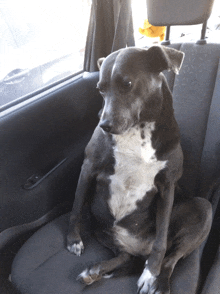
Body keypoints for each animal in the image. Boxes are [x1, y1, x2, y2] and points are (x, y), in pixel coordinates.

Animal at [66, 46, 211, 294]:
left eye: (127, 83)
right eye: (100, 89)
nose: (103, 124)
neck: (138, 129)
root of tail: (139, 248)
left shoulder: (168, 186)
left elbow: (161, 241)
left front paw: (151, 272)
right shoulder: (88, 167)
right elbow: (75, 207)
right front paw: (73, 240)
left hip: (204, 209)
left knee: (172, 256)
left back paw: (158, 282)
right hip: (103, 225)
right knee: (126, 256)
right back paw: (95, 270)